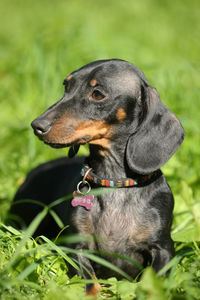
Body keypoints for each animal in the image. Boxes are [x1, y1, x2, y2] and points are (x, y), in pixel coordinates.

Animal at [10, 59, 184, 296]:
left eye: (98, 94)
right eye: (66, 86)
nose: (37, 125)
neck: (116, 184)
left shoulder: (163, 248)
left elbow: (153, 286)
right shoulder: (77, 246)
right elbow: (90, 284)